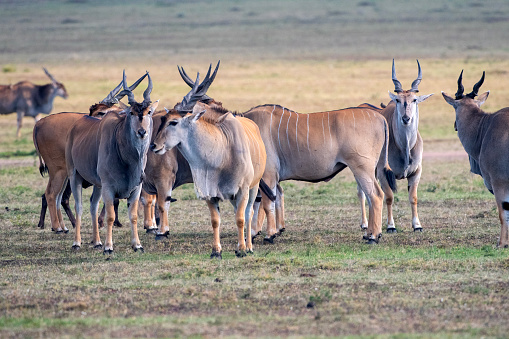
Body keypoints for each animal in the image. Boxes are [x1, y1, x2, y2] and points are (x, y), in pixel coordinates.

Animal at [65, 71, 158, 252]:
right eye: (131, 113)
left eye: (149, 112)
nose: (142, 132)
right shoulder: (108, 187)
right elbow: (110, 216)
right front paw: (109, 247)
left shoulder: (136, 188)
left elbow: (133, 216)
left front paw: (137, 245)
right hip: (75, 176)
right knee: (79, 207)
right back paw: (77, 243)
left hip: (97, 184)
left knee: (93, 206)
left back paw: (97, 242)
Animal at [358, 59, 432, 232]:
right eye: (398, 100)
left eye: (414, 99)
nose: (406, 118)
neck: (404, 147)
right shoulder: (383, 173)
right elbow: (389, 198)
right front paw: (391, 226)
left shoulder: (416, 172)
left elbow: (413, 197)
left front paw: (417, 225)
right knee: (362, 193)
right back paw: (365, 224)